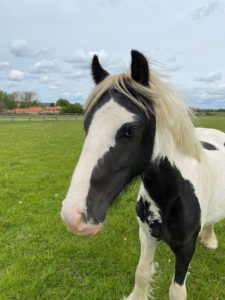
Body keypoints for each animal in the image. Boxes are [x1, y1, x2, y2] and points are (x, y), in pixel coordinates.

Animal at [60, 50, 225, 298]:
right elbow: (142, 274)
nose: (74, 216)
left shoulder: (186, 248)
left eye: (130, 130)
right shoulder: (146, 235)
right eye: (86, 126)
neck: (171, 195)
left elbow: (176, 291)